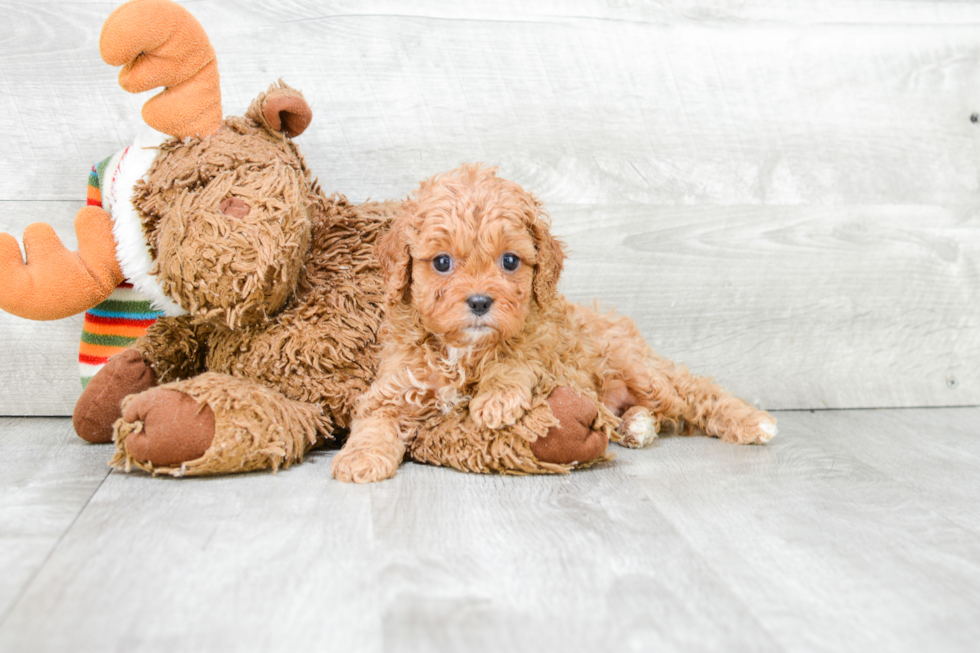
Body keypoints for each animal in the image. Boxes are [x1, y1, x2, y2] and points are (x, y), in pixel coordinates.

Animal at [334, 163, 776, 482]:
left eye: (510, 261)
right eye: (442, 262)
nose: (479, 302)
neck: (463, 351)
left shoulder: (546, 347)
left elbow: (518, 358)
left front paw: (495, 399)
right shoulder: (393, 388)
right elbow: (373, 423)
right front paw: (359, 460)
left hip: (640, 369)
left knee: (692, 390)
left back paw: (751, 420)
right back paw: (635, 425)